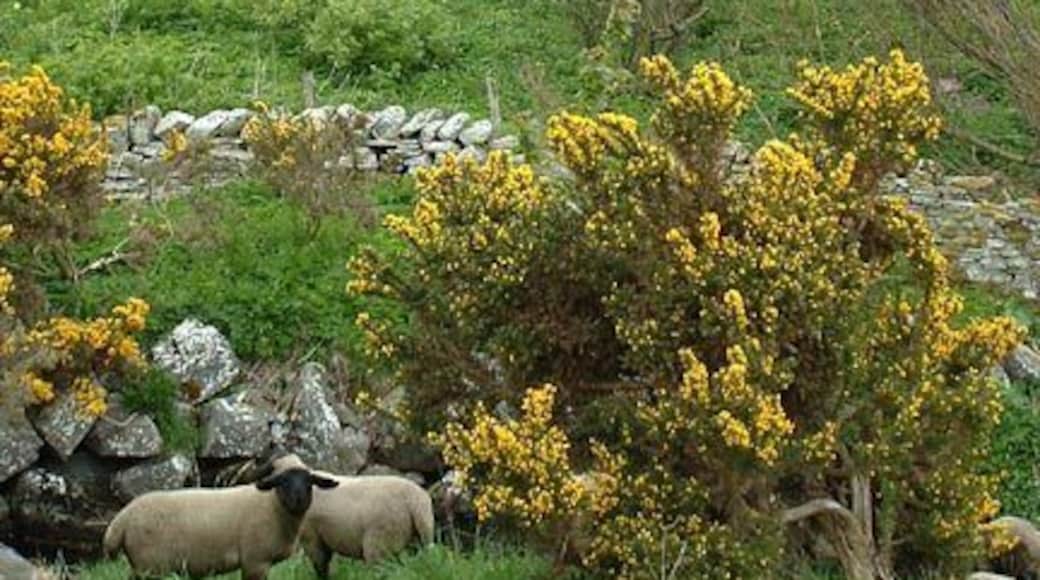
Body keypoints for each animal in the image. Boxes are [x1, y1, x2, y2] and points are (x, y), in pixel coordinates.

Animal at [102, 466, 338, 580]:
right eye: (282, 482)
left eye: (309, 482)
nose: (298, 499)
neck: (273, 507)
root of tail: (121, 519)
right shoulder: (255, 561)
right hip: (151, 565)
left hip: (143, 566)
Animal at [257, 451, 435, 579]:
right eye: (282, 480)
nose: (298, 499)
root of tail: (415, 502)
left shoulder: (313, 539)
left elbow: (321, 568)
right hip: (415, 543)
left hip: (380, 545)